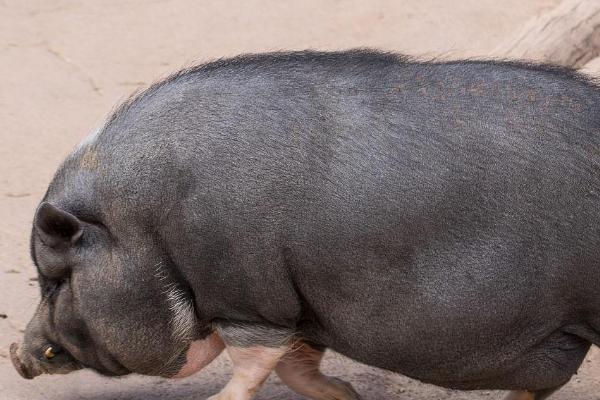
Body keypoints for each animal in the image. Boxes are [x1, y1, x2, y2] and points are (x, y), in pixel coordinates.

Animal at [8, 50, 600, 400]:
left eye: (54, 278)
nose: (16, 354)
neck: (148, 228)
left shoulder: (248, 296)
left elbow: (253, 365)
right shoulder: (300, 301)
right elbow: (297, 365)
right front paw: (349, 397)